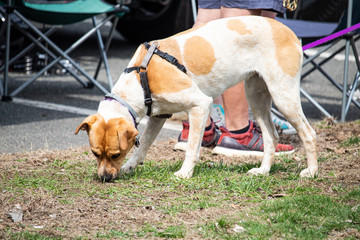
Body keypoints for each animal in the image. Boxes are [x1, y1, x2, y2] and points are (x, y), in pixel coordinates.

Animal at [75, 16, 318, 182]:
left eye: (115, 154)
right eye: (95, 153)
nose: (104, 178)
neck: (140, 77)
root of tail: (288, 30)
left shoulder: (200, 105)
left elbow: (192, 146)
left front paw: (184, 172)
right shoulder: (159, 116)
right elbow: (143, 144)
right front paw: (131, 166)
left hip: (283, 95)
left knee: (309, 133)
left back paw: (312, 171)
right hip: (256, 96)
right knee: (271, 136)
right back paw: (263, 170)